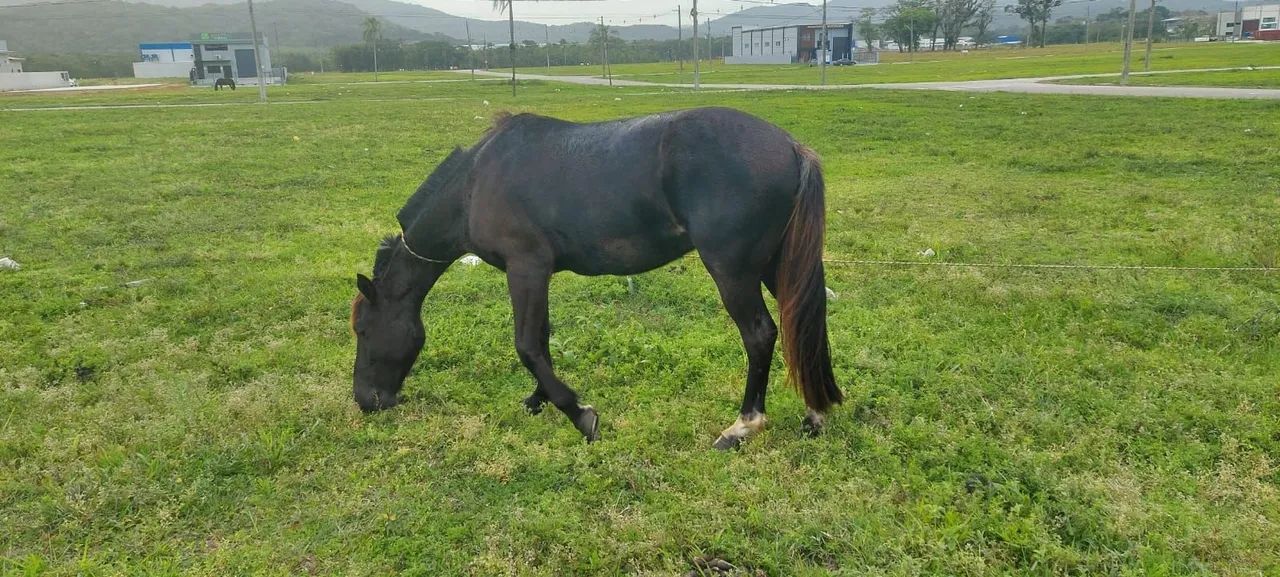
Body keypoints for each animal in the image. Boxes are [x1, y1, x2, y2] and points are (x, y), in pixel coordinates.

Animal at [351, 107, 842, 449]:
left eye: (363, 329)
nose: (365, 400)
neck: (475, 183)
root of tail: (791, 147)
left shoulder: (525, 267)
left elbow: (527, 345)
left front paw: (579, 414)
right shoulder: (538, 274)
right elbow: (542, 337)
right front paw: (539, 400)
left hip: (733, 271)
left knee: (760, 335)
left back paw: (743, 426)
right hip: (775, 265)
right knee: (804, 325)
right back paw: (816, 413)